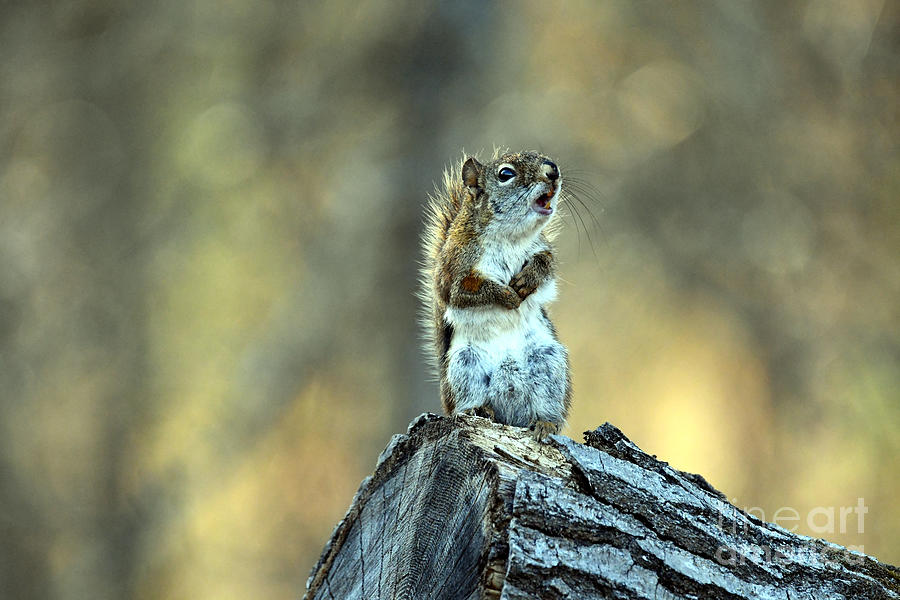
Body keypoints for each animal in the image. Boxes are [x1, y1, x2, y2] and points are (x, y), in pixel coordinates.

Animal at [420, 151, 572, 440]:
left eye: (542, 156)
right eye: (506, 174)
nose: (553, 171)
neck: (510, 237)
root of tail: (512, 417)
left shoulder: (543, 249)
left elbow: (545, 266)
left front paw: (529, 277)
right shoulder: (453, 271)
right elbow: (467, 292)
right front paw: (506, 296)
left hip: (549, 363)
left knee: (548, 407)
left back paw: (545, 424)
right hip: (464, 366)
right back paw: (478, 409)